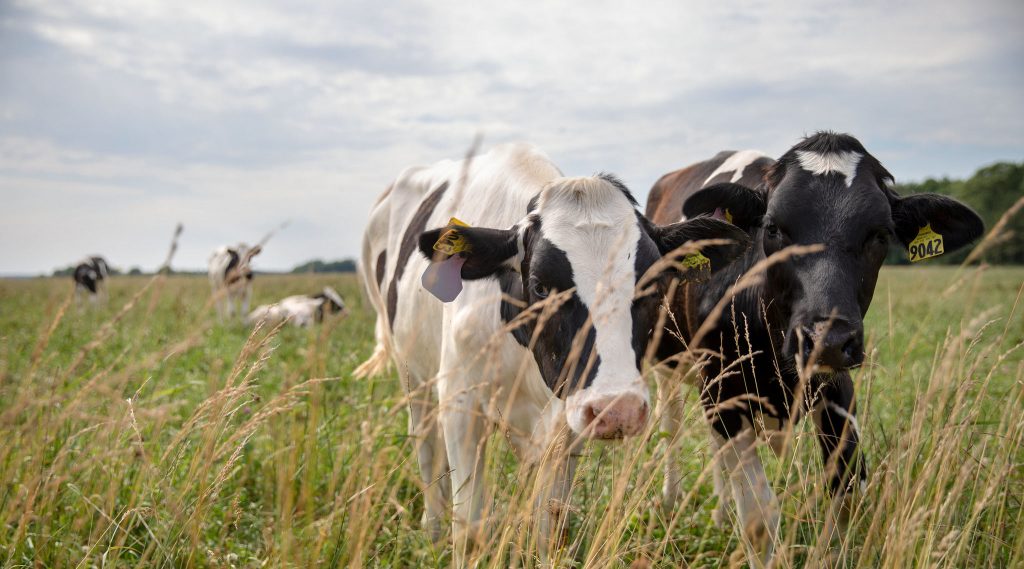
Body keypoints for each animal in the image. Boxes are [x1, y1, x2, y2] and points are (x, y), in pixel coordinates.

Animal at [356, 142, 750, 563]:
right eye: (541, 287)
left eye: (653, 284)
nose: (618, 411)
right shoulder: (462, 403)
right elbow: (471, 528)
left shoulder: (567, 420)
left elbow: (552, 527)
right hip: (414, 374)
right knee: (427, 450)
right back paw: (432, 534)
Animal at [646, 132, 984, 565]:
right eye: (773, 228)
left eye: (880, 234)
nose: (827, 339)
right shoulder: (724, 391)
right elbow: (758, 519)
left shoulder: (836, 388)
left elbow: (847, 491)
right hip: (667, 363)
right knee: (670, 423)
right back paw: (671, 499)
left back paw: (720, 514)